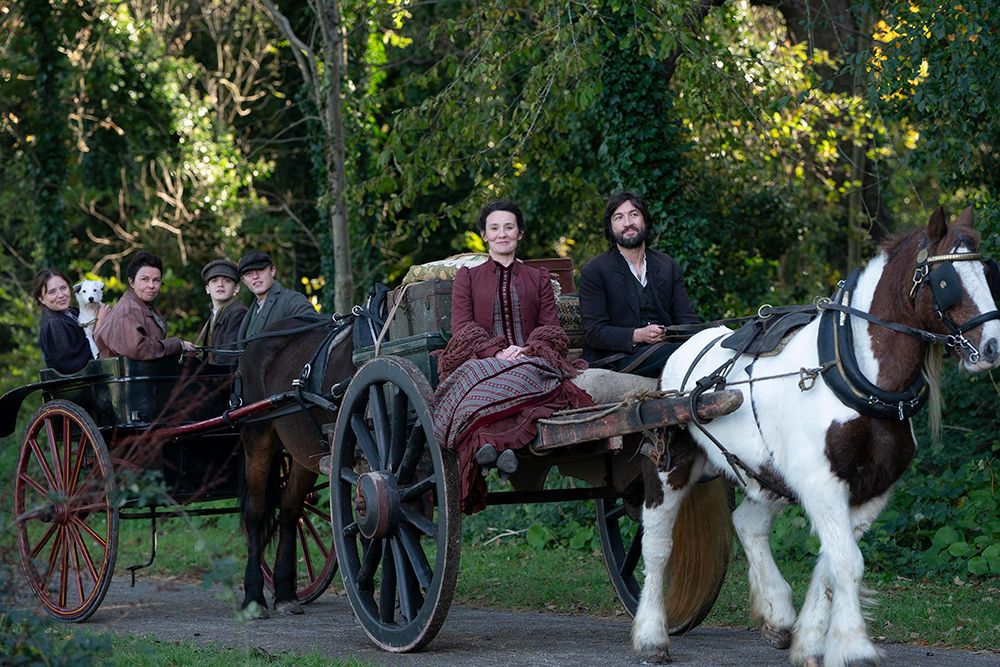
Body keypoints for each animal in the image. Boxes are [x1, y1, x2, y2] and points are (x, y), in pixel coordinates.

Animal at [632, 207, 1000, 664]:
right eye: (947, 281)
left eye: (988, 272)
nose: (992, 347)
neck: (851, 370)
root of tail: (681, 349)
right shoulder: (823, 483)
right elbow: (847, 563)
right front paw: (854, 646)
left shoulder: (870, 490)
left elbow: (831, 564)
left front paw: (812, 641)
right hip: (671, 466)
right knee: (657, 545)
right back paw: (652, 636)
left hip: (767, 473)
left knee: (747, 523)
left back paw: (777, 614)